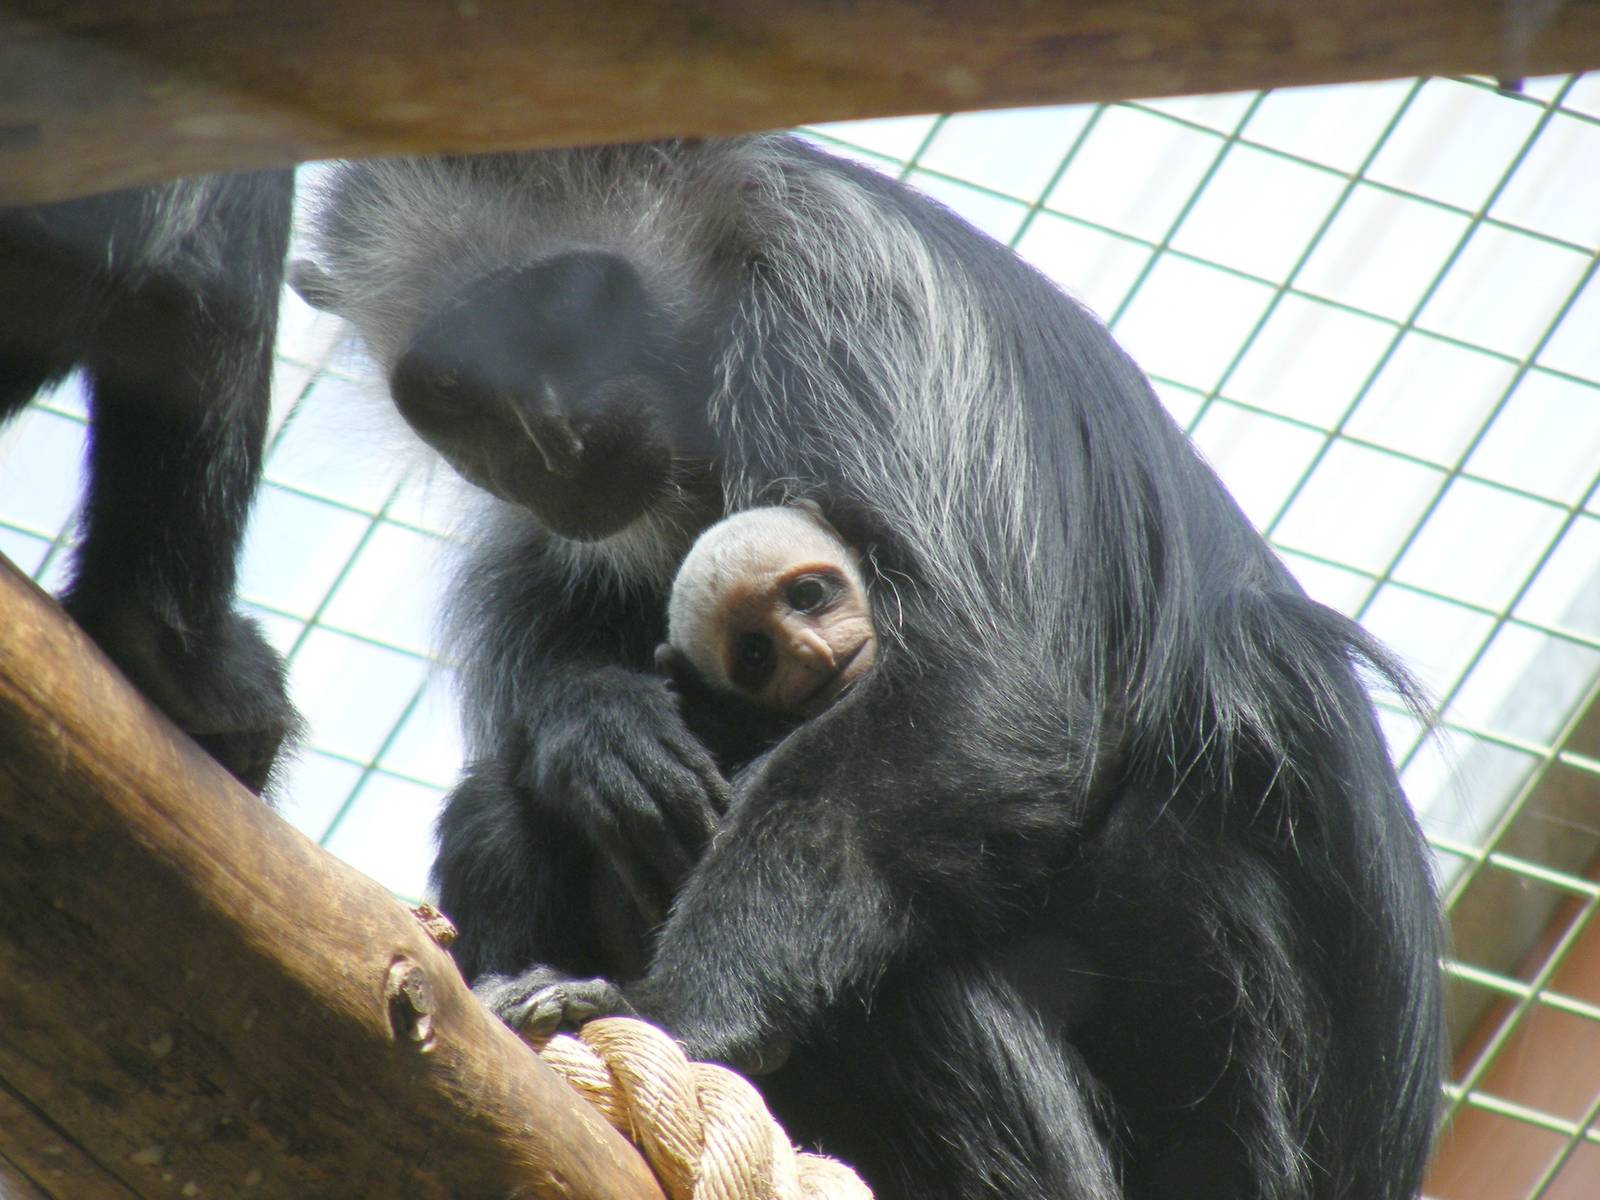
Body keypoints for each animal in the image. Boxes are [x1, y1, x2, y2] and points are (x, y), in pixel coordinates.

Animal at [296, 138, 1444, 1200]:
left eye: (565, 300)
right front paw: (596, 725)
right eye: (455, 385)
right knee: (503, 805)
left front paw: (676, 1012)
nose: (550, 435)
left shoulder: (842, 299)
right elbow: (540, 606)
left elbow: (980, 700)